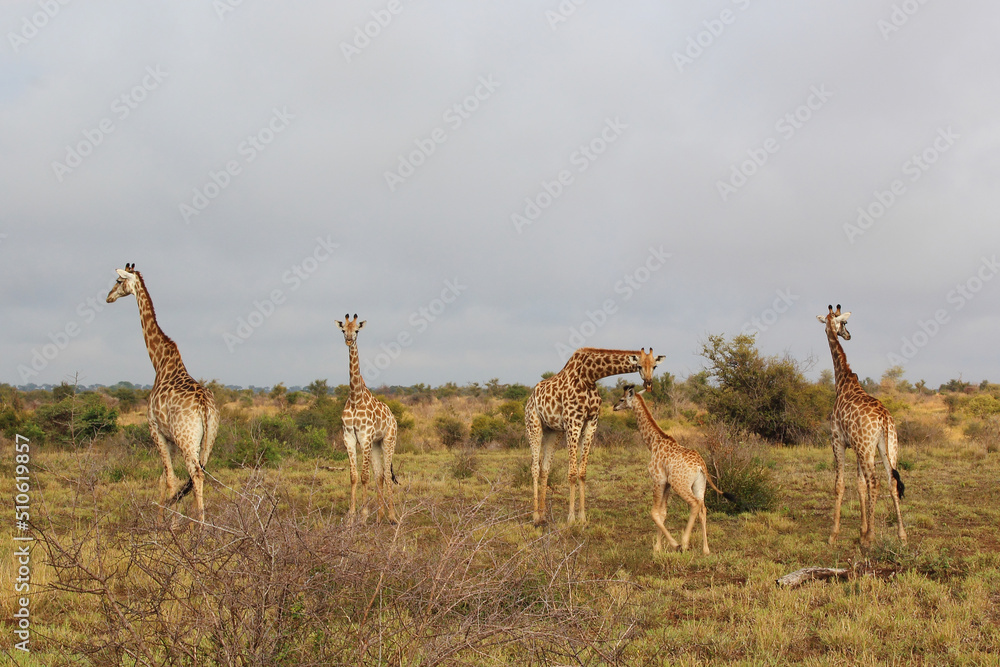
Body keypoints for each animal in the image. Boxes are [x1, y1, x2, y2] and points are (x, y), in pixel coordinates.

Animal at [106, 263, 219, 525]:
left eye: (118, 281)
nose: (108, 297)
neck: (159, 362)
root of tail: (204, 406)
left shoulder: (155, 430)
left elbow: (168, 478)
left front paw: (166, 524)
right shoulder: (171, 438)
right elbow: (169, 479)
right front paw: (169, 518)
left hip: (187, 439)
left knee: (195, 474)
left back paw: (199, 526)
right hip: (207, 439)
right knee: (200, 473)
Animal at [336, 314, 398, 523]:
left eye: (356, 330)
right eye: (343, 329)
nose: (348, 340)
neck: (355, 397)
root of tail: (393, 418)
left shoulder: (364, 437)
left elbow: (364, 476)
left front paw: (362, 516)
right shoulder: (348, 436)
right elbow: (354, 476)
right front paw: (351, 517)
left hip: (388, 440)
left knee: (386, 474)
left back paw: (392, 517)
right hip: (376, 444)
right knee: (380, 475)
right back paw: (379, 517)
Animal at [526, 347, 664, 526]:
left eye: (655, 366)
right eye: (639, 365)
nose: (648, 384)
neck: (589, 376)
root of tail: (530, 399)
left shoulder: (591, 423)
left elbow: (582, 472)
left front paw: (582, 517)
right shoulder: (573, 422)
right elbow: (572, 473)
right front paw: (571, 519)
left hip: (553, 431)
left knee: (545, 468)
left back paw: (543, 516)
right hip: (533, 425)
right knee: (535, 467)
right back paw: (535, 517)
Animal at [613, 384, 733, 554]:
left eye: (622, 399)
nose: (614, 407)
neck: (653, 442)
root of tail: (701, 466)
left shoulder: (658, 479)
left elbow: (654, 513)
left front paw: (671, 545)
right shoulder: (667, 483)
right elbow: (662, 513)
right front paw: (658, 548)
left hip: (680, 484)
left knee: (694, 504)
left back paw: (684, 543)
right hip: (699, 485)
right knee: (703, 508)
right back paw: (706, 549)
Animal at [818, 304, 906, 547]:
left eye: (844, 322)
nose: (848, 335)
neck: (842, 382)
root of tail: (884, 418)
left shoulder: (838, 441)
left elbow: (840, 484)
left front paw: (834, 534)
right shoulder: (857, 446)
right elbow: (859, 484)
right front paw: (861, 529)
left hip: (867, 447)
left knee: (874, 481)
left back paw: (871, 538)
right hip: (888, 446)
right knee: (891, 480)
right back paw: (902, 535)